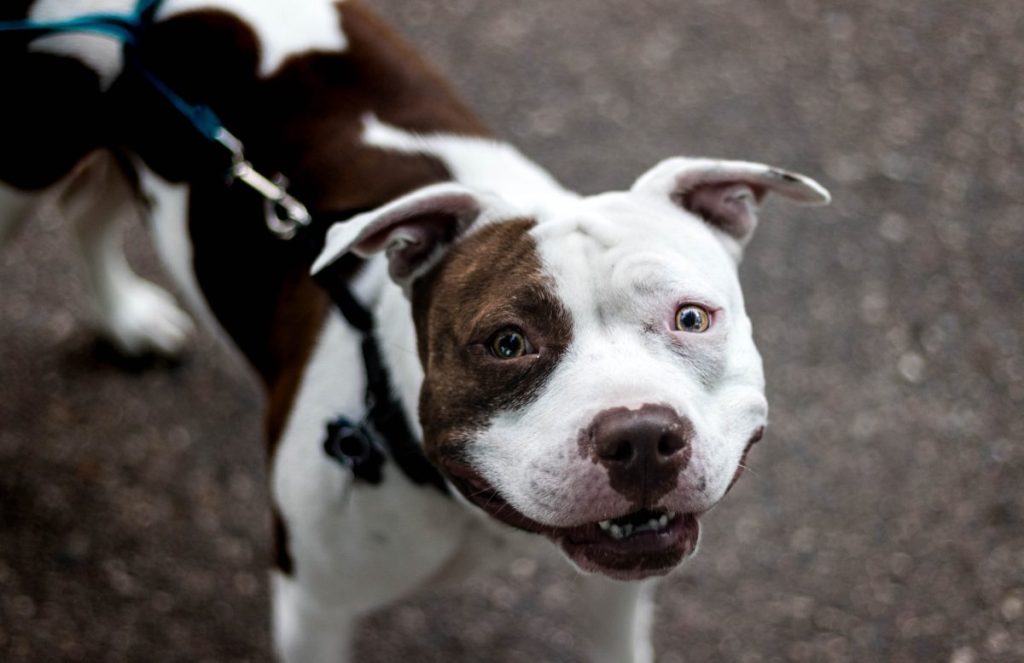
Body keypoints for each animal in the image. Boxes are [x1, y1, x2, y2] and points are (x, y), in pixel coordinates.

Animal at [0, 1, 831, 663]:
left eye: (692, 317)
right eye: (506, 343)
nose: (642, 435)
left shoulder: (619, 588)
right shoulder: (313, 609)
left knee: (90, 205)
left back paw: (124, 317)